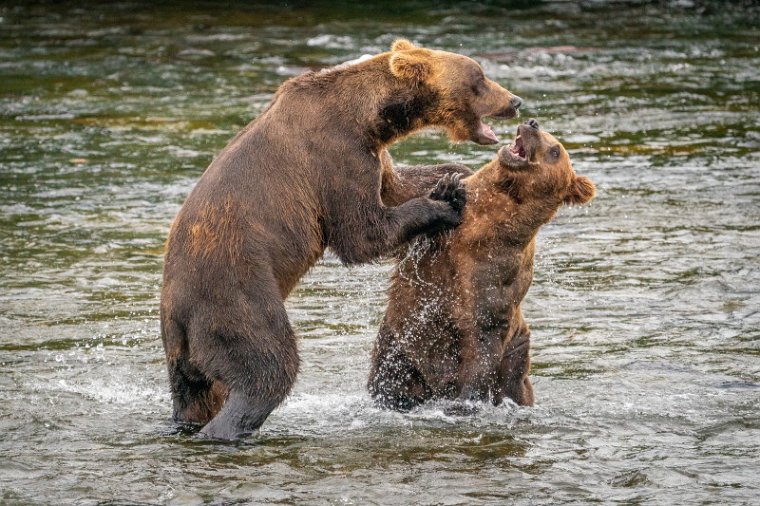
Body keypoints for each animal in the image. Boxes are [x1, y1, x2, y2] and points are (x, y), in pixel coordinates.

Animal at [160, 38, 524, 438]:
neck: (370, 118)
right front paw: (445, 201)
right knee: (266, 362)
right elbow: (361, 233)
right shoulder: (336, 155)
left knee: (196, 393)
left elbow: (395, 187)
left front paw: (455, 174)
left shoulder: (374, 154)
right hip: (235, 294)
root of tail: (177, 317)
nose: (515, 101)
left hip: (184, 353)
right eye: (479, 77)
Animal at [366, 119, 592, 412]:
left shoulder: (495, 273)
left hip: (513, 361)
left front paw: (466, 401)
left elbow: (482, 340)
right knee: (389, 380)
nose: (532, 123)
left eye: (555, 151)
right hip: (398, 347)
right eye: (548, 138)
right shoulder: (437, 247)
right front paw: (448, 188)